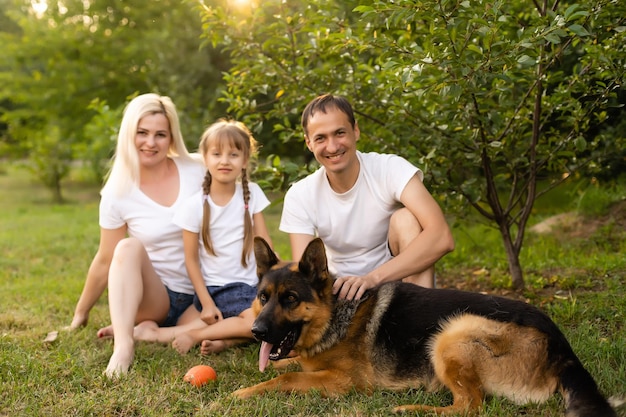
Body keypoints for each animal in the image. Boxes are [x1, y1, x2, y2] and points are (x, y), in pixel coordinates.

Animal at [233, 237, 616, 416]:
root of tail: (562, 347)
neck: (334, 314)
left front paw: (243, 392)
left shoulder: (345, 383)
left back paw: (411, 409)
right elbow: (288, 366)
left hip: (452, 334)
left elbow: (286, 378)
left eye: (290, 299)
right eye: (263, 297)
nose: (256, 332)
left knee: (470, 406)